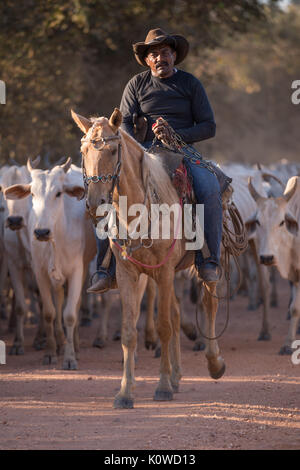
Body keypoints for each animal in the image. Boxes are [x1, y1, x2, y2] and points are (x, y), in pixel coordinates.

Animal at [4, 158, 96, 368]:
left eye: (59, 193)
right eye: (32, 193)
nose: (41, 232)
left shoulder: (77, 271)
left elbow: (70, 314)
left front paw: (70, 358)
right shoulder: (39, 273)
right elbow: (48, 312)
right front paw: (50, 352)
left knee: (75, 306)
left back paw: (74, 346)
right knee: (58, 301)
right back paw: (60, 342)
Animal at [71, 106, 225, 408]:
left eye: (113, 150)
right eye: (84, 150)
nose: (95, 203)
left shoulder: (163, 272)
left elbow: (164, 327)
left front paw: (162, 387)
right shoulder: (127, 273)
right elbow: (130, 332)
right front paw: (124, 393)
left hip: (202, 265)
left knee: (209, 302)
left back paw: (214, 364)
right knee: (176, 314)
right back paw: (177, 376)